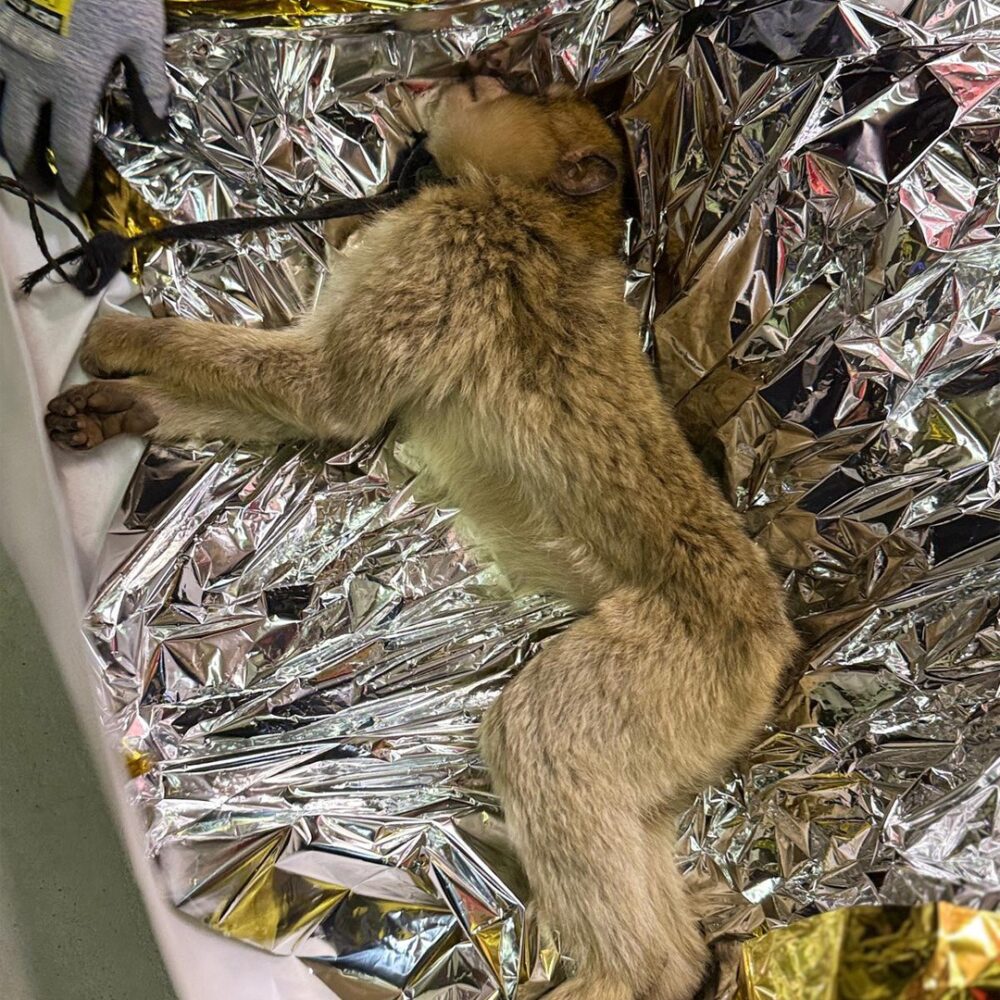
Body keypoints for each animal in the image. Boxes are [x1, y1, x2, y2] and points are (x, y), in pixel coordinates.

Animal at [46, 78, 798, 1000]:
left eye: (521, 88)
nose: (469, 76)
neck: (528, 207)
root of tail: (772, 638)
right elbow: (324, 408)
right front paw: (134, 406)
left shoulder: (442, 246)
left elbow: (324, 394)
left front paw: (129, 340)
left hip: (686, 662)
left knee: (538, 733)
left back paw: (633, 973)